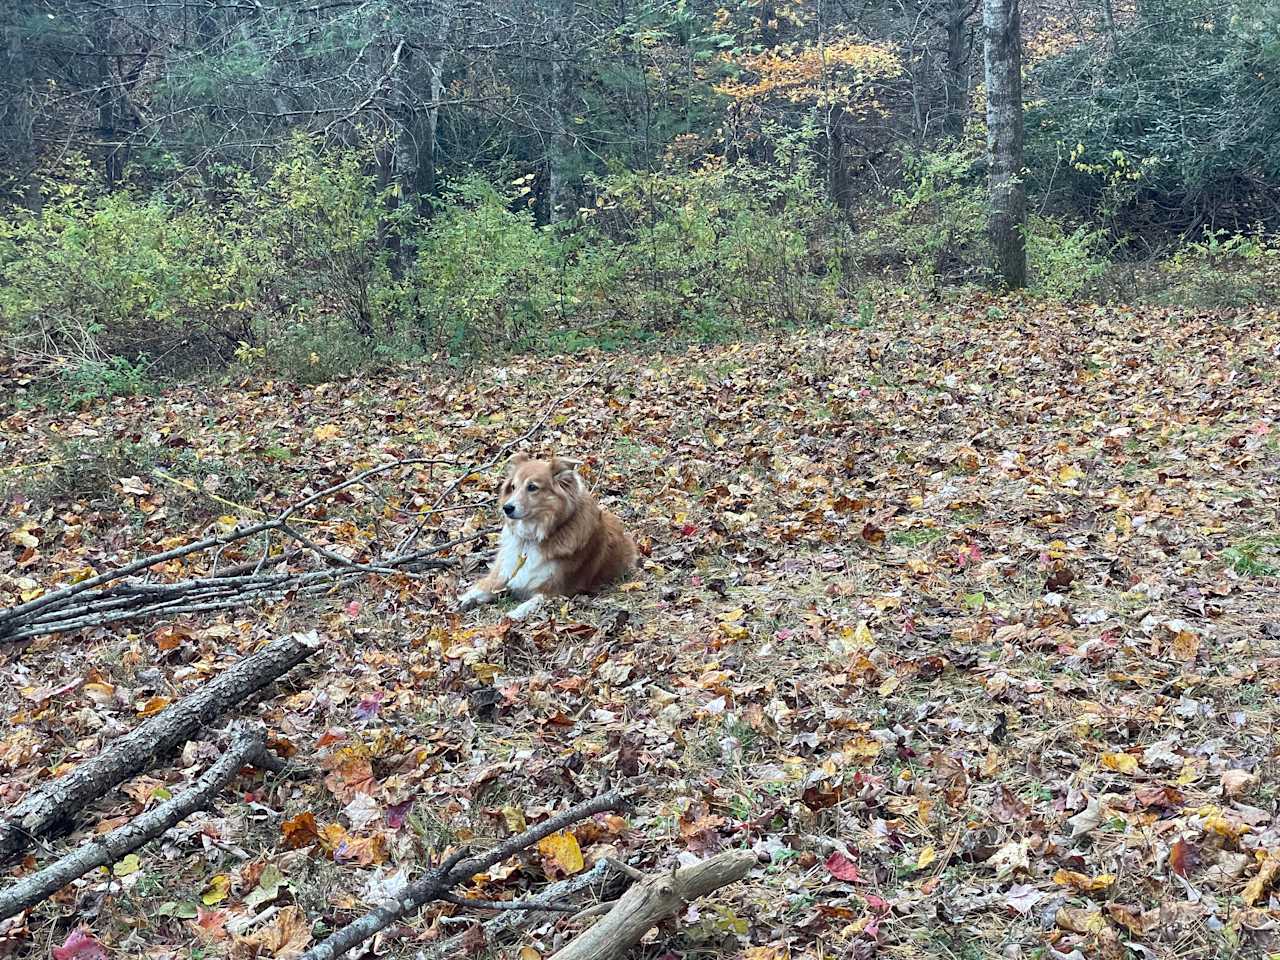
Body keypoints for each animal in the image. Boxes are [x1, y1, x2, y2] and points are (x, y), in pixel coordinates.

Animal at [458, 453, 640, 619]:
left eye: (532, 487)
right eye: (513, 487)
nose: (507, 508)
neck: (532, 538)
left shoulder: (555, 590)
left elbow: (532, 602)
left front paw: (513, 614)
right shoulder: (503, 572)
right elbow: (484, 587)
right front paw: (465, 599)